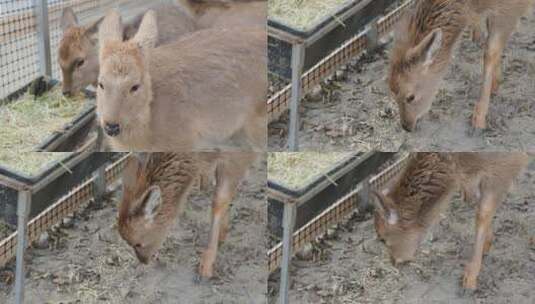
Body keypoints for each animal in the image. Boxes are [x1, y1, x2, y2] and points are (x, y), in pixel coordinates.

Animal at [370, 152, 528, 290]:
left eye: (382, 238)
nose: (394, 262)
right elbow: (473, 199)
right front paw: (487, 245)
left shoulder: (504, 167)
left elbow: (483, 213)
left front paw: (470, 278)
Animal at [388, 0, 532, 133]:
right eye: (392, 93)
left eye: (410, 97)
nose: (406, 127)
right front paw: (495, 85)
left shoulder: (510, 10)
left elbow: (491, 51)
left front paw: (479, 119)